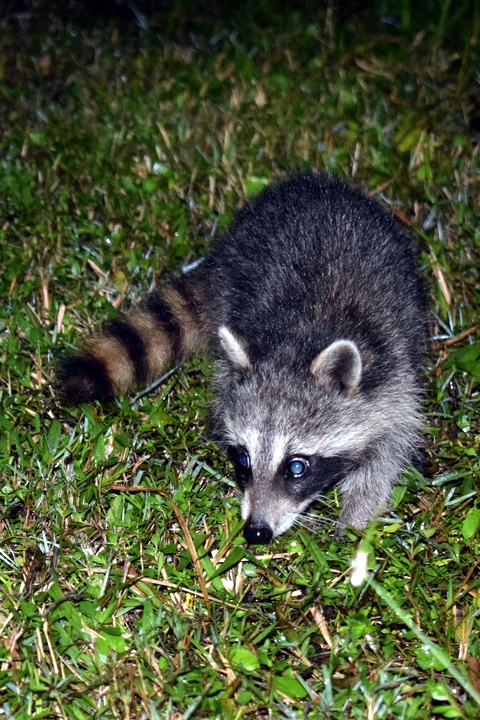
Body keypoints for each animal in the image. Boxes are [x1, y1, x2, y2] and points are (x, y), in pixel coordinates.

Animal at [59, 173, 428, 544]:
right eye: (243, 459)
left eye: (296, 466)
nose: (256, 532)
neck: (298, 342)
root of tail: (309, 181)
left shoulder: (391, 373)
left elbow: (387, 452)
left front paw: (355, 519)